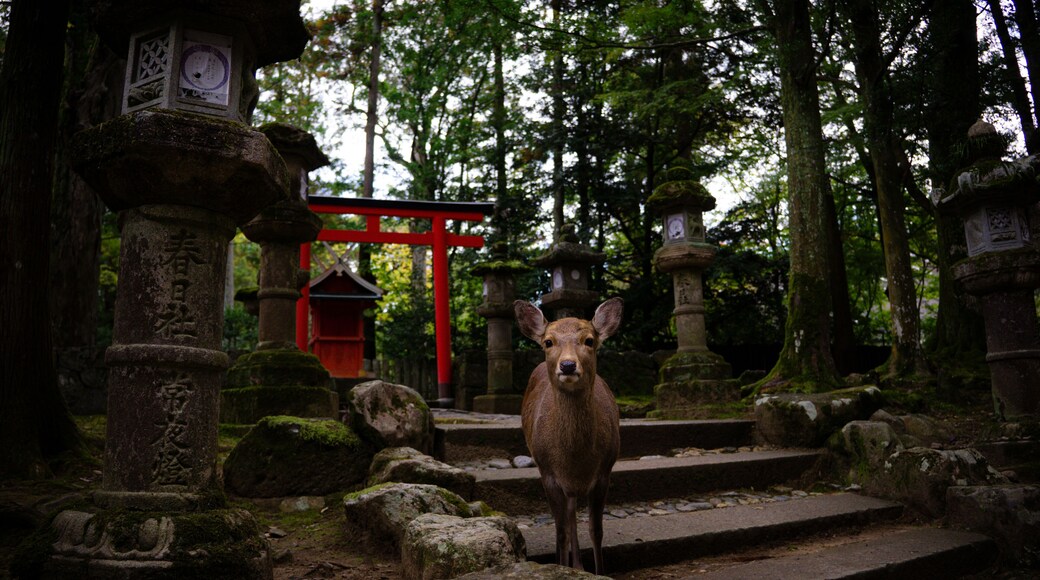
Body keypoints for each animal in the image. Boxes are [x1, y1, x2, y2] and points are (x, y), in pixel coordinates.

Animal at [513, 297, 623, 575]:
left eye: (589, 340)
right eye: (548, 342)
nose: (568, 365)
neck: (576, 459)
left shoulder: (605, 470)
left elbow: (596, 530)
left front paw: (598, 571)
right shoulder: (548, 472)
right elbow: (560, 531)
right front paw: (561, 568)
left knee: (573, 508)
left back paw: (579, 565)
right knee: (564, 516)